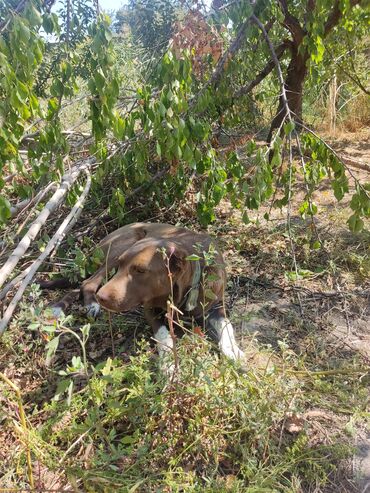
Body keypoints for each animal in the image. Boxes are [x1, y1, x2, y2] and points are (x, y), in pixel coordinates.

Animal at [44, 224, 244, 366]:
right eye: (123, 265)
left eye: (140, 270)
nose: (102, 298)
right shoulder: (150, 309)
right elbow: (164, 336)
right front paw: (168, 364)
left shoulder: (217, 307)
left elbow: (227, 327)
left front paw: (233, 351)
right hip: (116, 252)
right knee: (88, 282)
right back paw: (85, 305)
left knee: (80, 285)